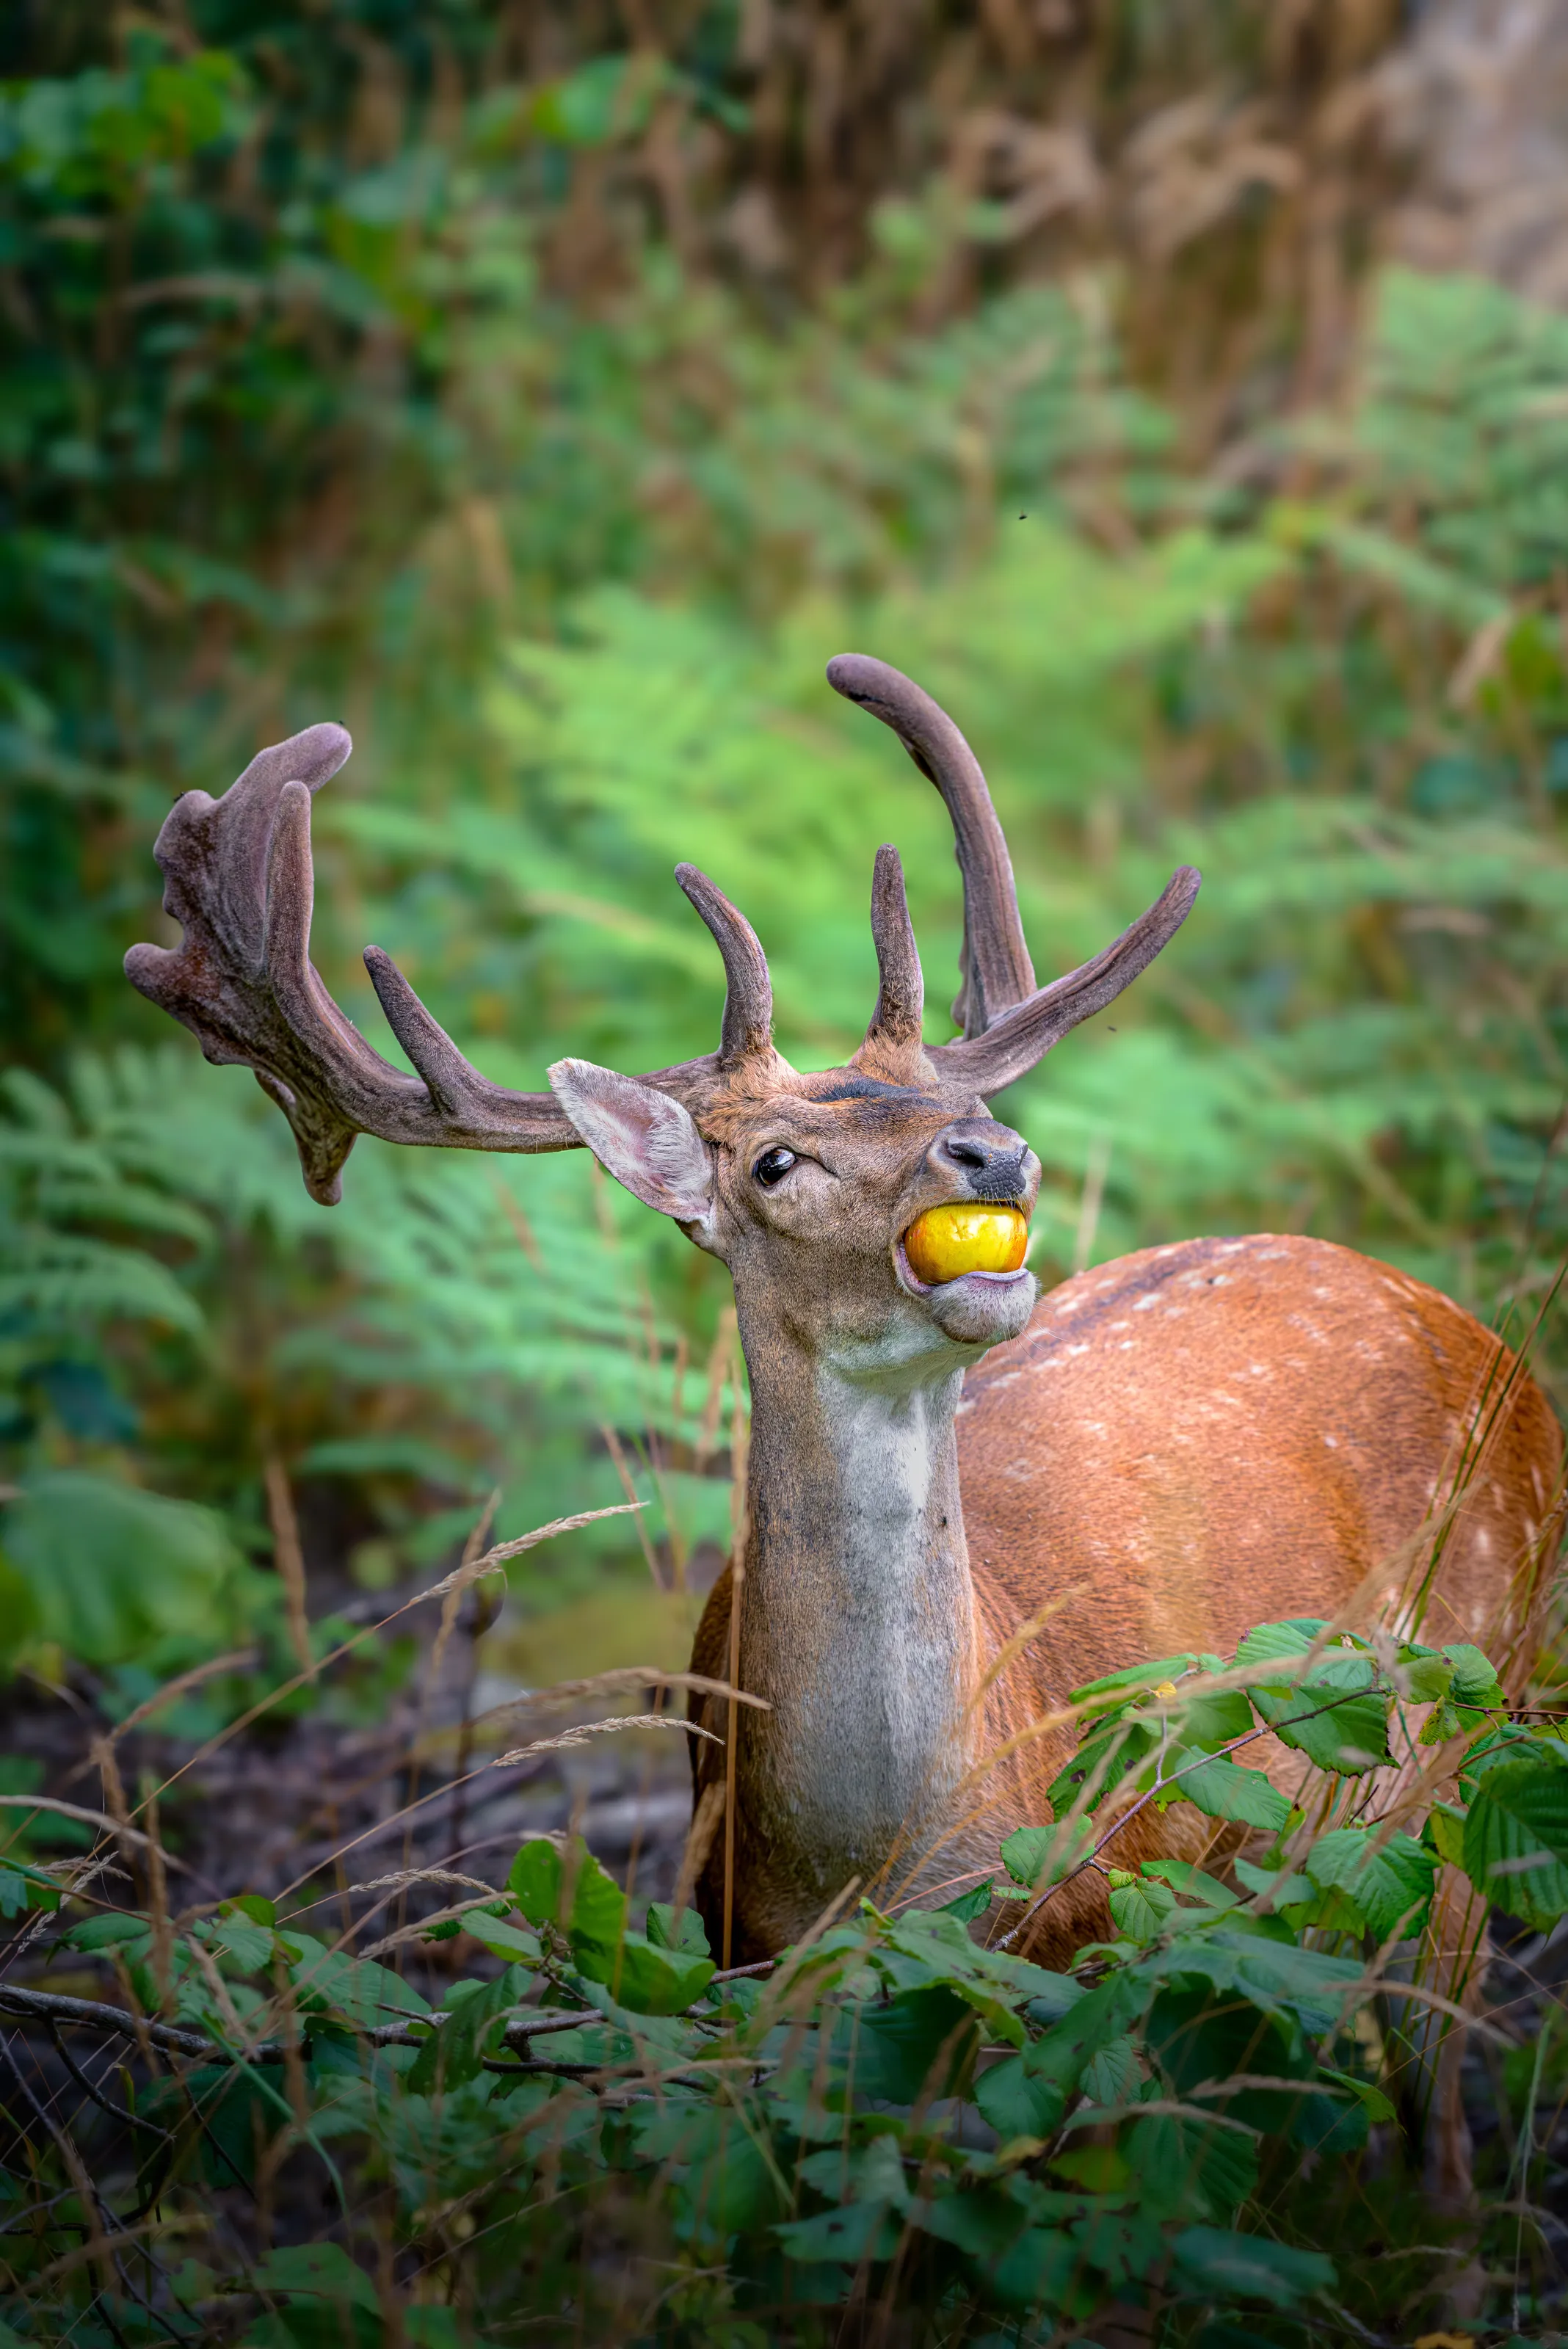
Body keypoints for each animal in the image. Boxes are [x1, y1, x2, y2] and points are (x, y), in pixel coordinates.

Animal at [126, 656, 1562, 2014]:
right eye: (774, 1162)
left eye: (955, 1102)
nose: (994, 1151)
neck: (879, 1868)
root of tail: (1487, 1343)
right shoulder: (738, 1946)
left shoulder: (1086, 1918)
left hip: (1469, 1736)